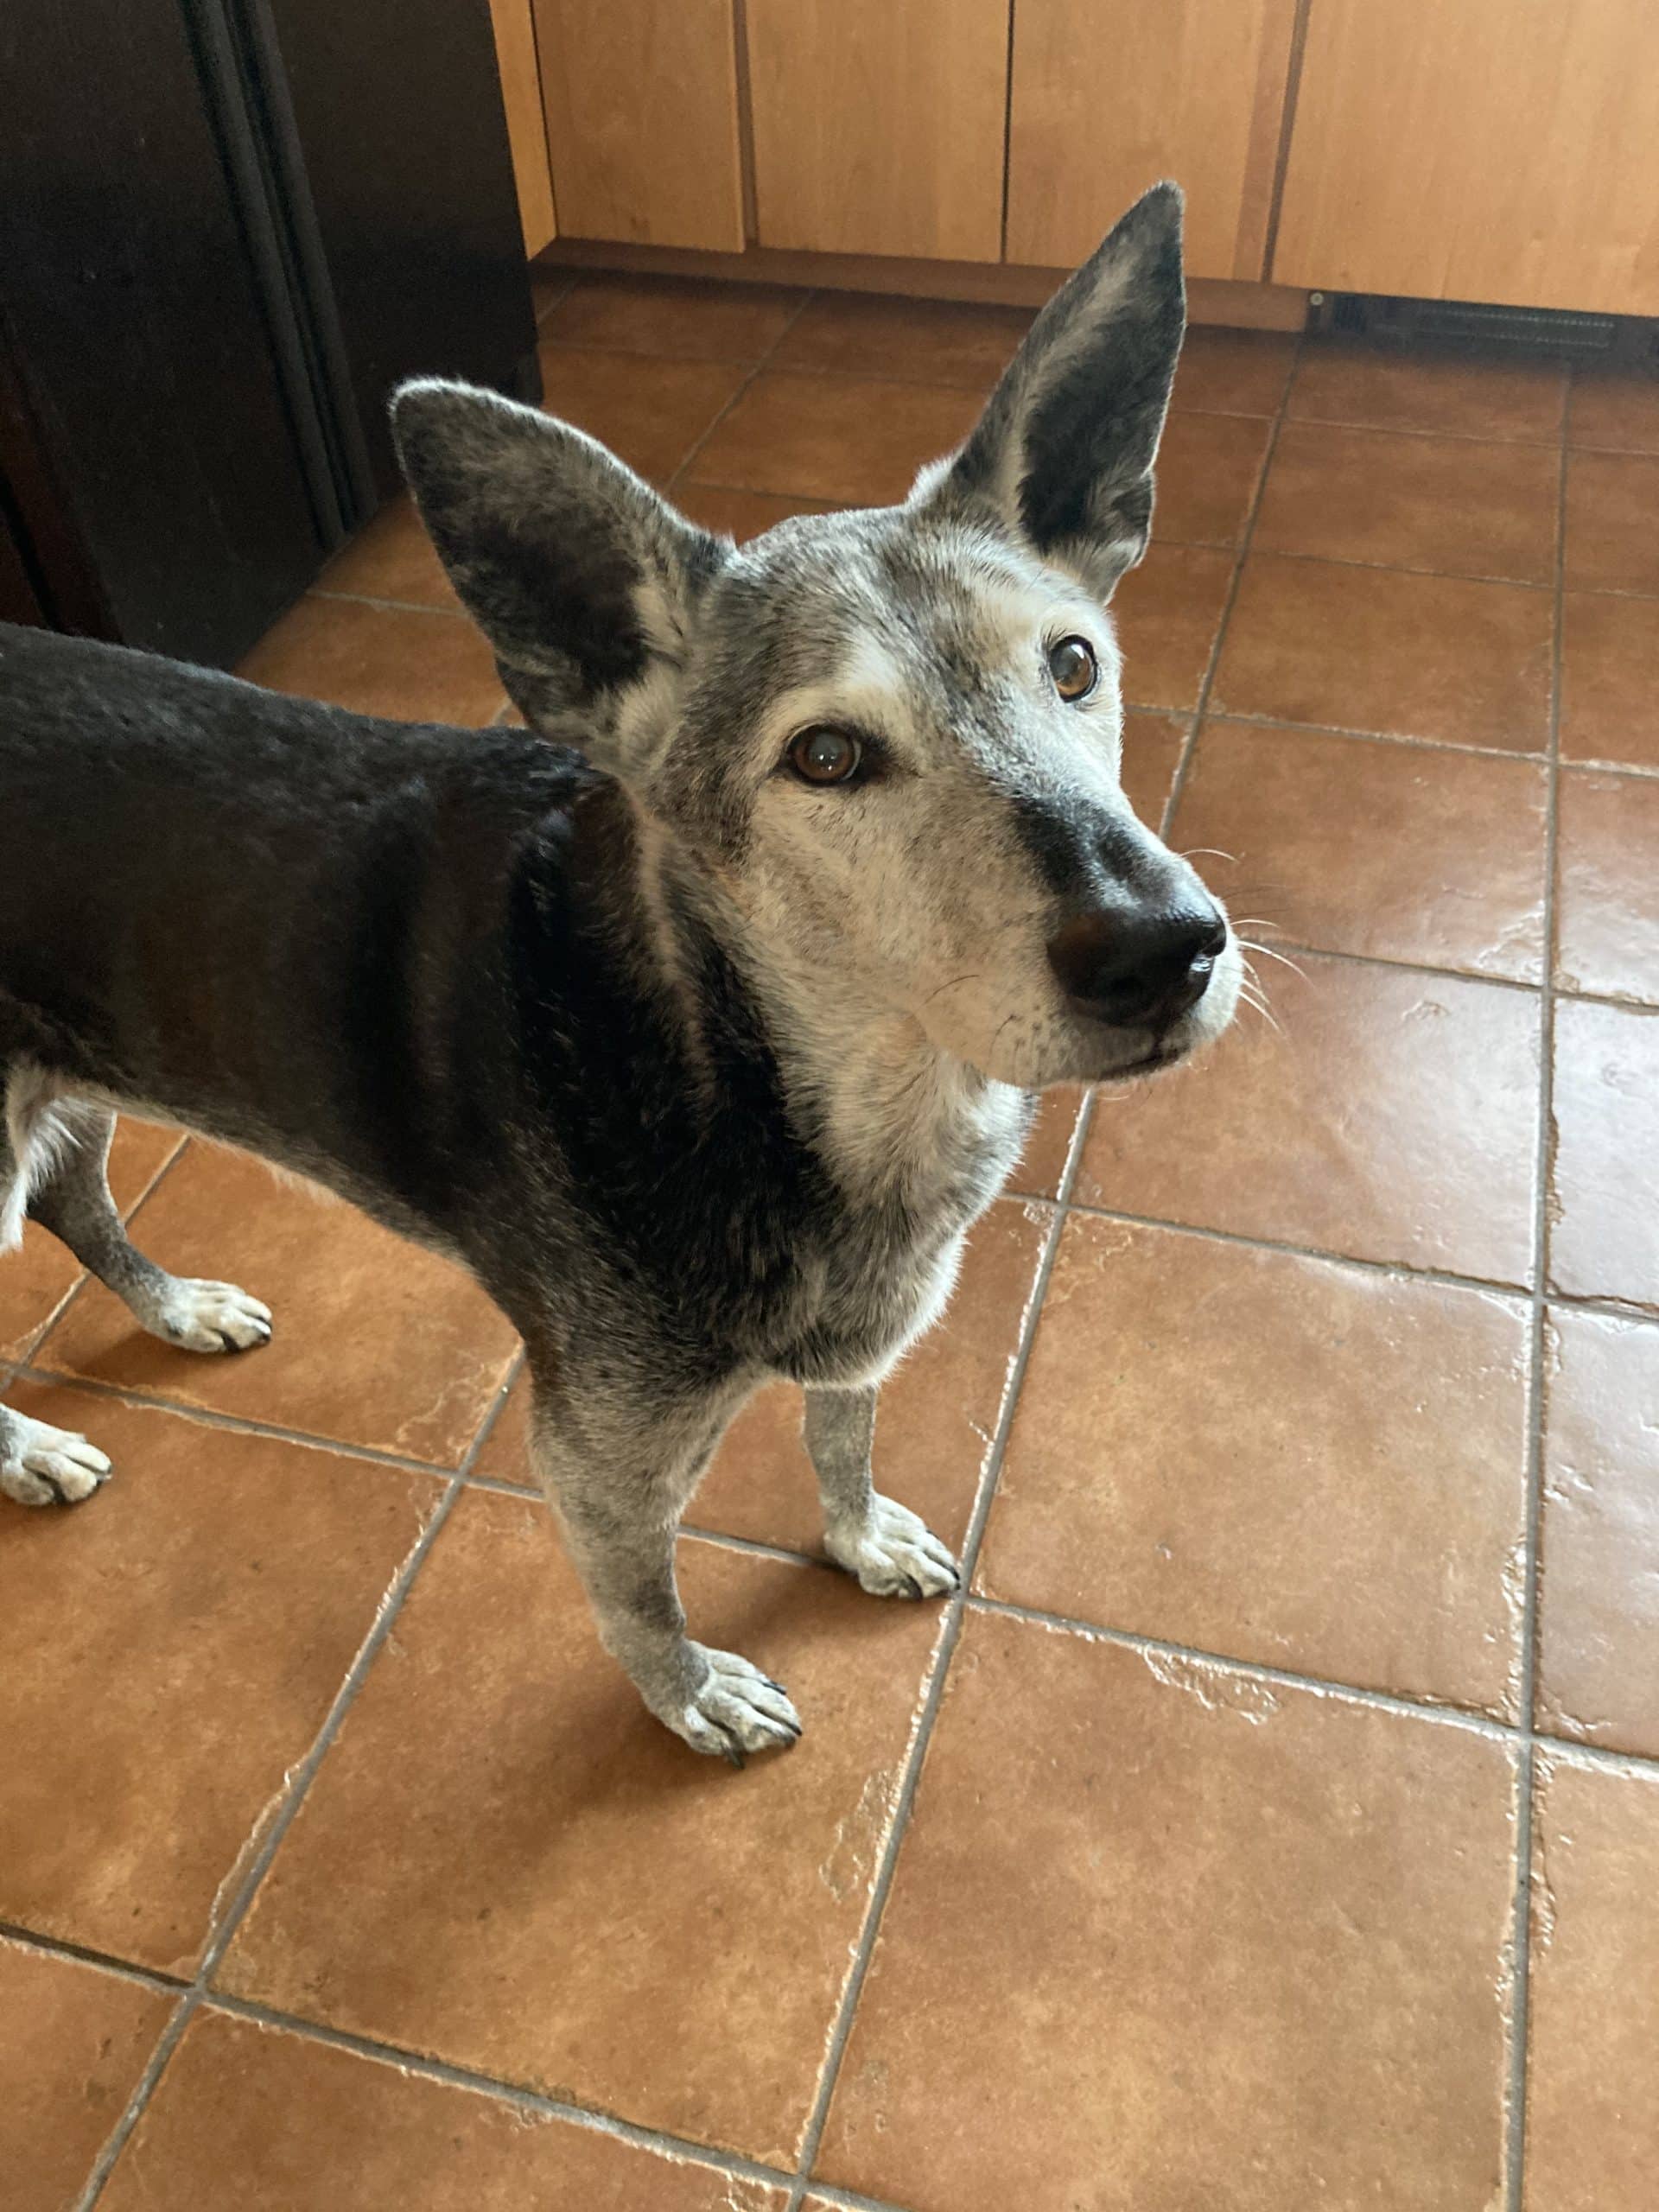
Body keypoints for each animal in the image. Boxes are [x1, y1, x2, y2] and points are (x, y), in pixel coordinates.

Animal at [0, 181, 1238, 1751]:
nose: (1165, 950)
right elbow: (642, 1598)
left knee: (75, 1197)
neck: (766, 1077)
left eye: (1073, 665)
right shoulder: (601, 1450)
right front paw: (694, 1698)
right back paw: (29, 1447)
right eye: (825, 757)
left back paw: (177, 1308)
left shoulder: (867, 1331)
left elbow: (842, 1433)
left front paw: (861, 1536)